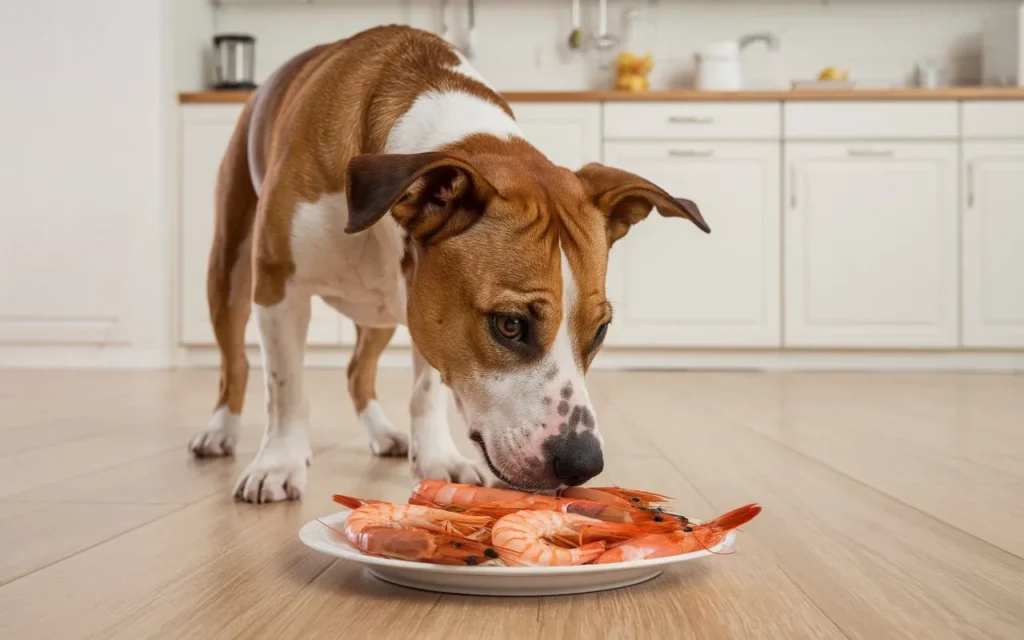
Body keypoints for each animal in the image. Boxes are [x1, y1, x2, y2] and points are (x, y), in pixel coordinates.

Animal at [188, 26, 708, 503]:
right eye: (510, 325)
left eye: (600, 331)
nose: (583, 464)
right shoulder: (279, 288)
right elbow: (286, 388)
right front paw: (278, 464)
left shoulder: (431, 308)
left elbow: (427, 389)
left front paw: (436, 458)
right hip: (229, 272)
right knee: (234, 363)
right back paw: (219, 431)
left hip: (383, 312)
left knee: (358, 370)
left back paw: (382, 433)